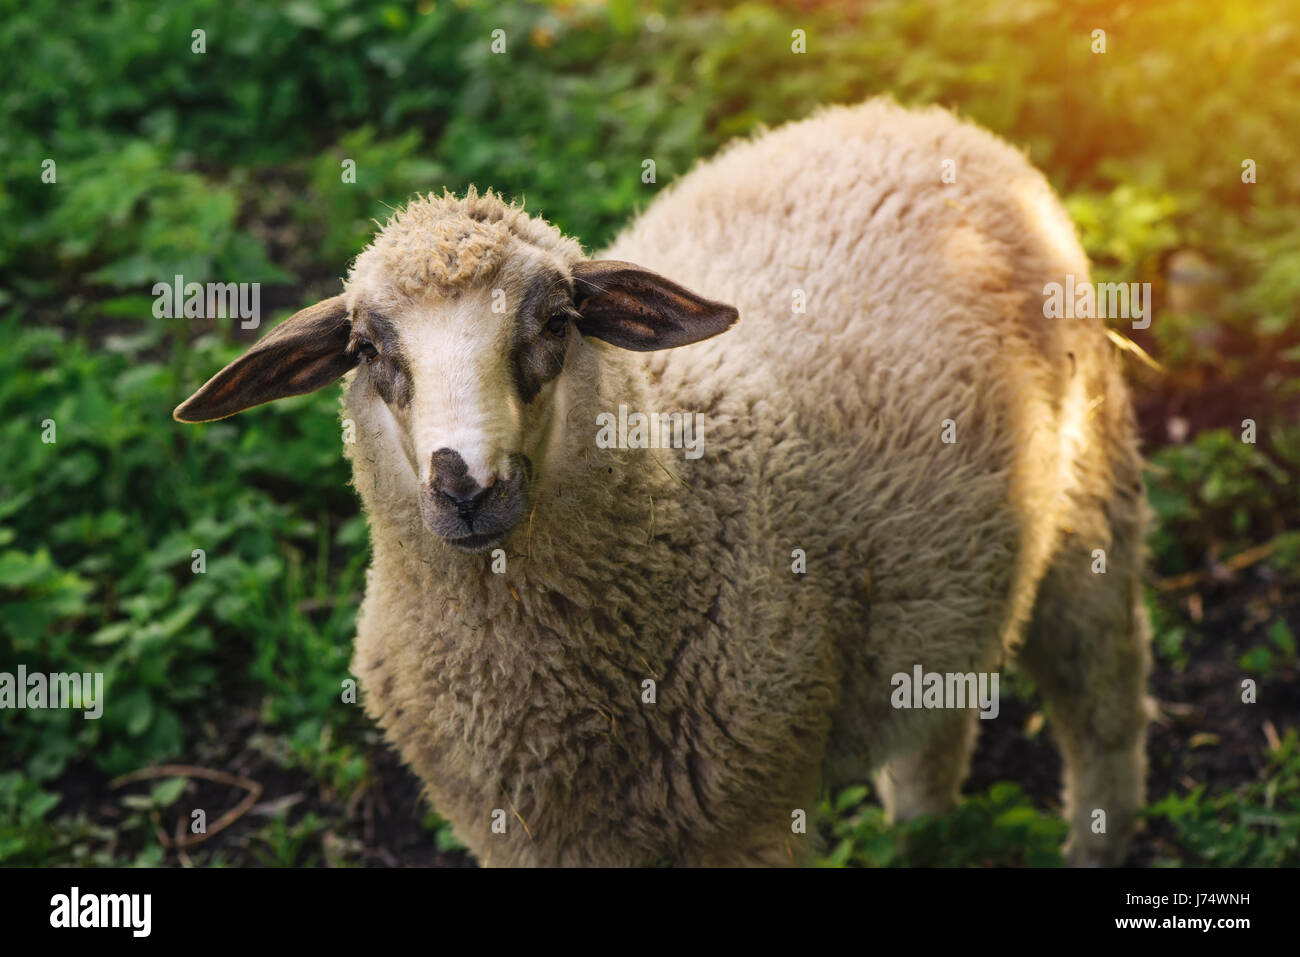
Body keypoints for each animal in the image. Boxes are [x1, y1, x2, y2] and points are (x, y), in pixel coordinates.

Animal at [172, 98, 1149, 868]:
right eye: (368, 348)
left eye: (557, 322)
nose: (466, 485)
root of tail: (916, 115)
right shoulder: (525, 835)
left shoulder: (747, 817)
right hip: (949, 573)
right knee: (935, 728)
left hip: (1091, 498)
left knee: (1105, 706)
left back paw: (1094, 839)